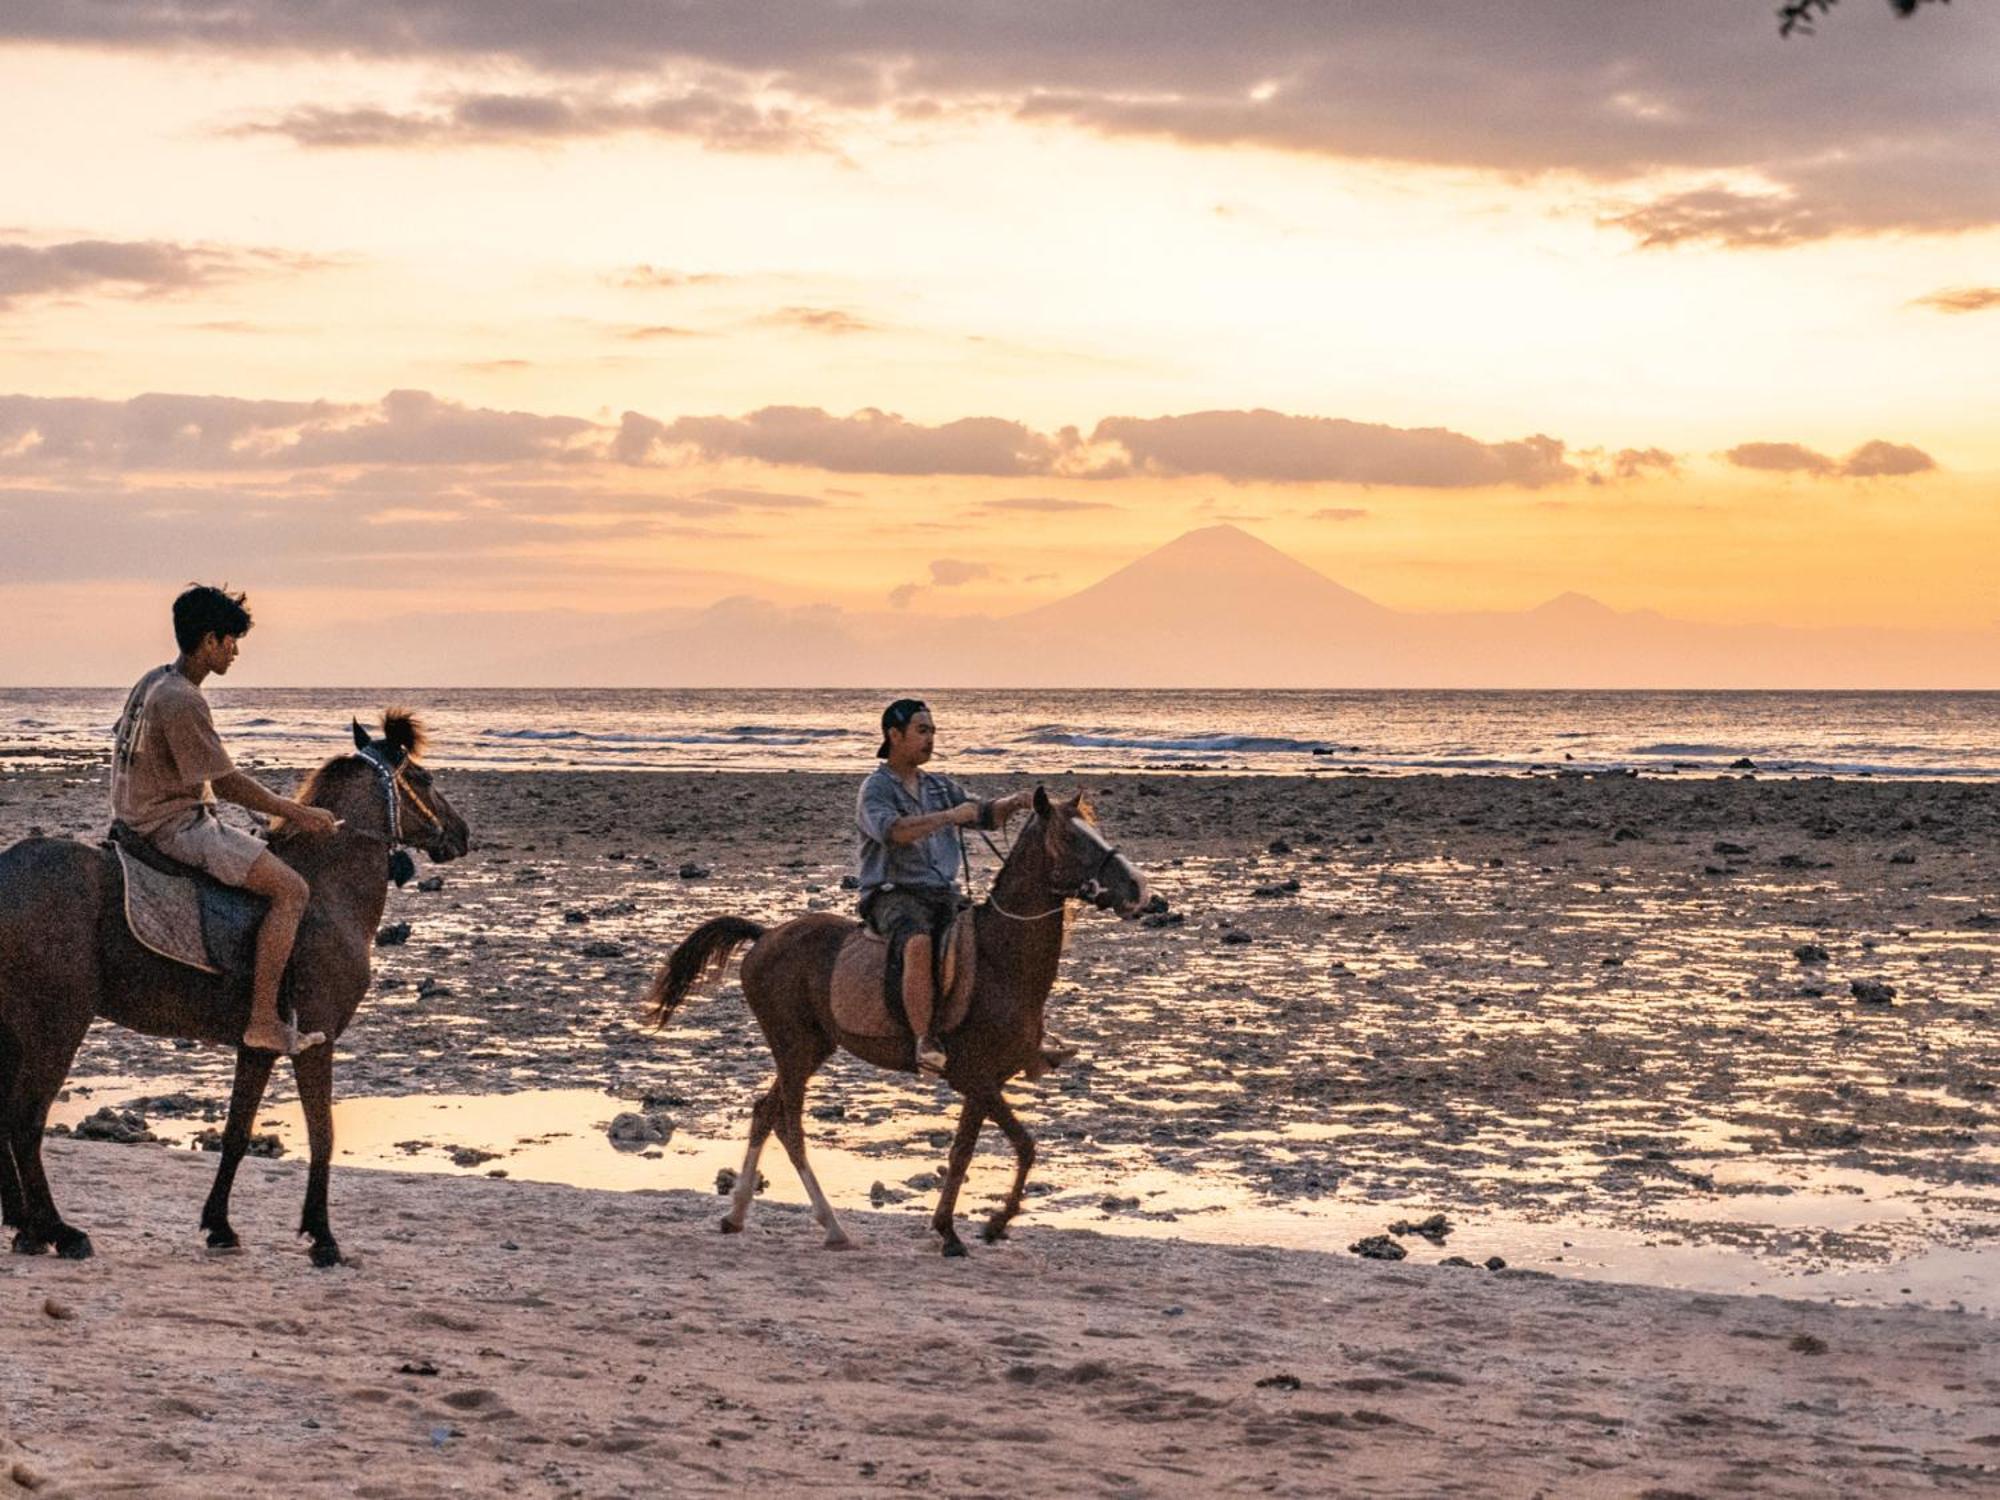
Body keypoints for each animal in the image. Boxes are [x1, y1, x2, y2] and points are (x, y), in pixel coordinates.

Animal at [0, 716, 468, 1272]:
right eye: (422, 777)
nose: (461, 832)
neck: (327, 889)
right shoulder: (318, 1039)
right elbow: (322, 1135)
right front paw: (323, 1237)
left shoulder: (259, 1045)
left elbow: (237, 1134)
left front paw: (220, 1226)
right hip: (56, 1025)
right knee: (26, 1120)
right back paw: (56, 1229)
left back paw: (24, 1226)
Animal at [648, 792, 1152, 1264]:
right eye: (1070, 838)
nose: (1139, 888)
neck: (1000, 962)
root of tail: (765, 935)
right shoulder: (973, 1077)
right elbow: (1023, 1145)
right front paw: (991, 1225)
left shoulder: (985, 1083)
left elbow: (964, 1153)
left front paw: (952, 1230)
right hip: (793, 1048)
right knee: (790, 1127)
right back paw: (832, 1227)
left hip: (810, 1049)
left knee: (764, 1113)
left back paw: (736, 1215)